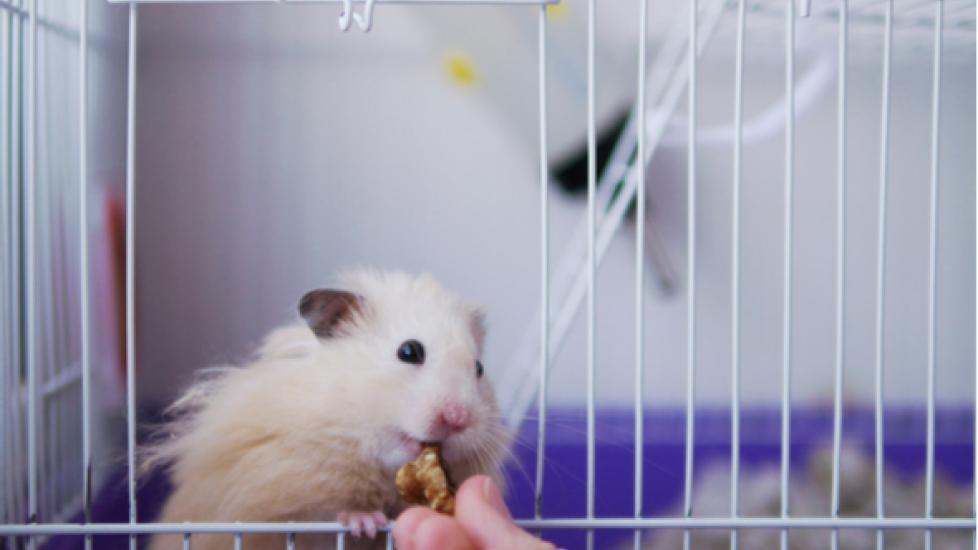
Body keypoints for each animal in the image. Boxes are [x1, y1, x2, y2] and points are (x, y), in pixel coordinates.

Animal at [143, 270, 512, 550]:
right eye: (409, 351)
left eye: (479, 368)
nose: (458, 419)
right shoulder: (277, 487)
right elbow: (322, 510)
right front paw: (365, 521)